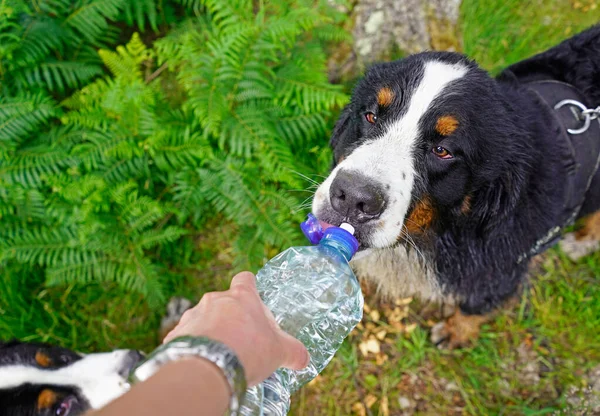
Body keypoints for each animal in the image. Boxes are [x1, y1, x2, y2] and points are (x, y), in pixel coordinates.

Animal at [312, 24, 600, 346]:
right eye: (371, 116)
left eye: (442, 151)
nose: (352, 197)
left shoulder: (502, 270)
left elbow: (475, 306)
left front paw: (455, 331)